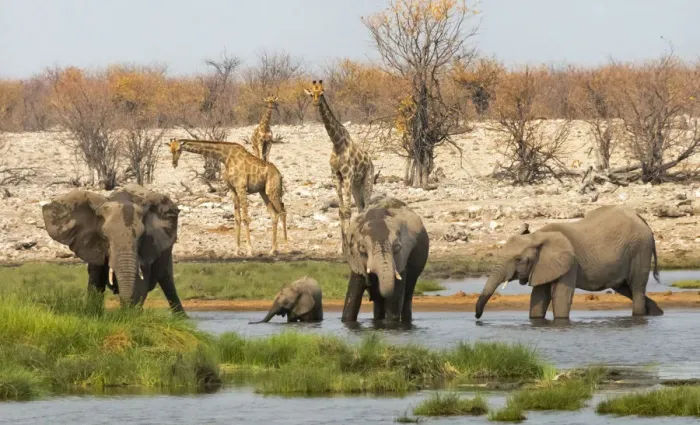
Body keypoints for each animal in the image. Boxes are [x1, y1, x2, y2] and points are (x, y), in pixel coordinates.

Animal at [42, 183, 185, 314]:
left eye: (142, 236)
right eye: (104, 236)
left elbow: (141, 284)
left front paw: (130, 316)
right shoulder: (93, 244)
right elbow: (96, 279)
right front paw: (94, 314)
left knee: (167, 280)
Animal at [475, 205, 663, 320]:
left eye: (519, 260)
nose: (477, 318)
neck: (537, 236)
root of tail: (641, 219)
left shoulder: (569, 264)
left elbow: (560, 296)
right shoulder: (542, 265)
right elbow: (539, 296)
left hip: (640, 249)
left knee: (636, 287)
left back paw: (641, 316)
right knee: (625, 288)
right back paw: (656, 313)